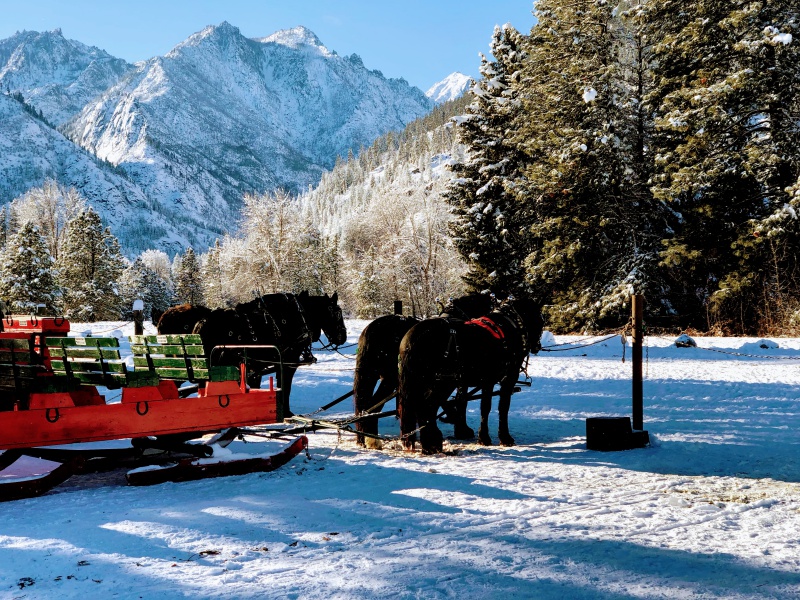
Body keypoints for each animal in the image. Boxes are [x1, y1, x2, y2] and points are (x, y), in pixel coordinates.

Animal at [194, 292, 346, 418]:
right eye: (338, 313)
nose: (343, 337)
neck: (298, 317)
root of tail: (202, 323)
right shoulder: (288, 363)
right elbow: (285, 387)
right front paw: (286, 413)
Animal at [352, 292, 494, 448]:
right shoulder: (454, 378)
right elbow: (460, 400)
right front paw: (461, 428)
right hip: (391, 378)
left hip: (380, 377)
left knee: (370, 407)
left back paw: (367, 438)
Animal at [398, 298, 544, 452]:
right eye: (540, 320)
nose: (537, 346)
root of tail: (411, 339)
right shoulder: (505, 378)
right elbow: (498, 407)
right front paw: (500, 438)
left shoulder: (476, 381)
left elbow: (471, 403)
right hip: (442, 382)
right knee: (426, 406)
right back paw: (432, 442)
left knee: (423, 407)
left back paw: (430, 443)